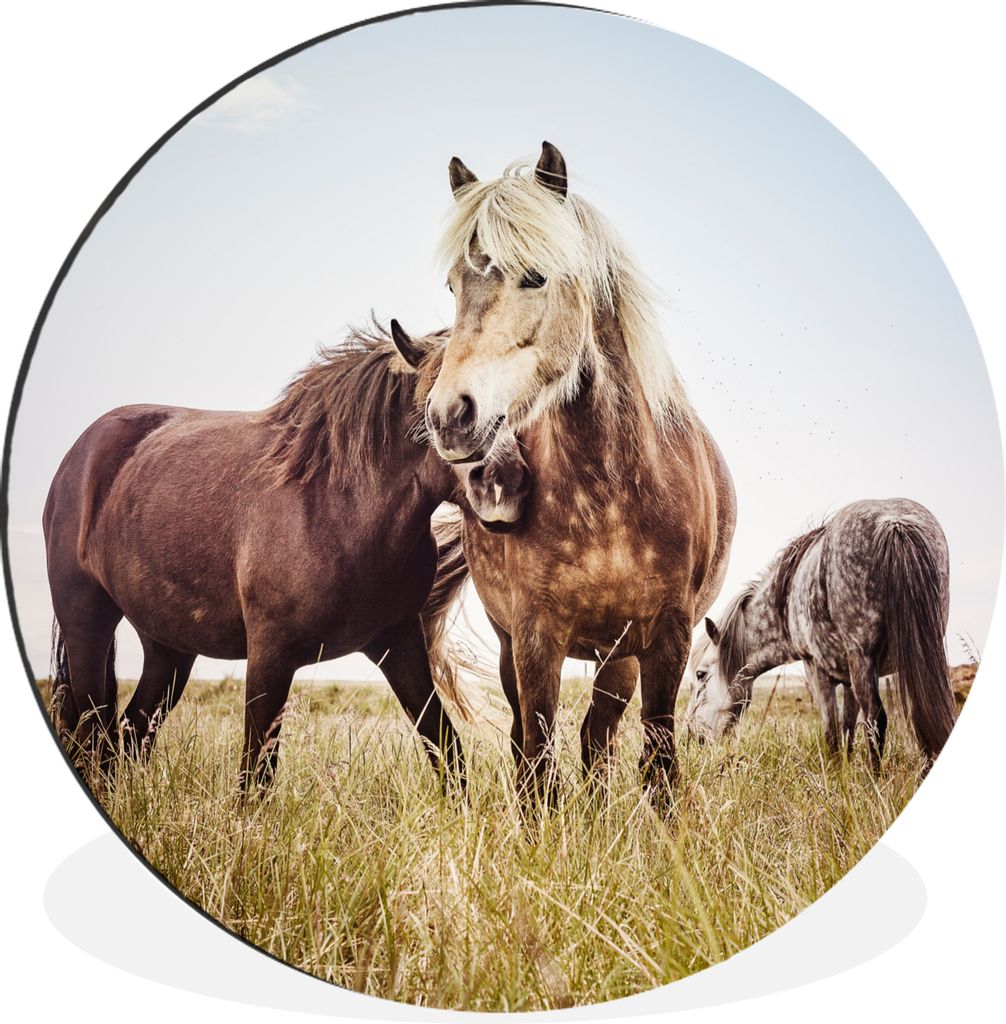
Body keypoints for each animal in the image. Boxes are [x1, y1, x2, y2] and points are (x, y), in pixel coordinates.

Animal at [43, 322, 529, 793]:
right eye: (440, 405)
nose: (506, 482)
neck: (338, 503)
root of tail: (79, 455)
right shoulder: (270, 655)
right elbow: (256, 773)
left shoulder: (399, 644)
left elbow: (445, 746)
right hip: (87, 625)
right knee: (91, 731)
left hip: (168, 648)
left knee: (127, 733)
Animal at [401, 141, 737, 810]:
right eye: (453, 284)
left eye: (535, 276)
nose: (450, 416)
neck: (608, 494)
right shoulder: (536, 638)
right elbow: (537, 758)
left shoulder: (667, 639)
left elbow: (659, 757)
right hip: (518, 647)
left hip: (619, 657)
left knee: (598, 737)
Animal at [683, 498, 958, 774]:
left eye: (701, 674)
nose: (692, 736)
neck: (785, 601)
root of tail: (894, 523)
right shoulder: (848, 680)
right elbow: (847, 728)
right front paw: (846, 771)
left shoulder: (816, 669)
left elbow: (832, 731)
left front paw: (835, 775)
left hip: (863, 659)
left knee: (876, 718)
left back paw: (875, 778)